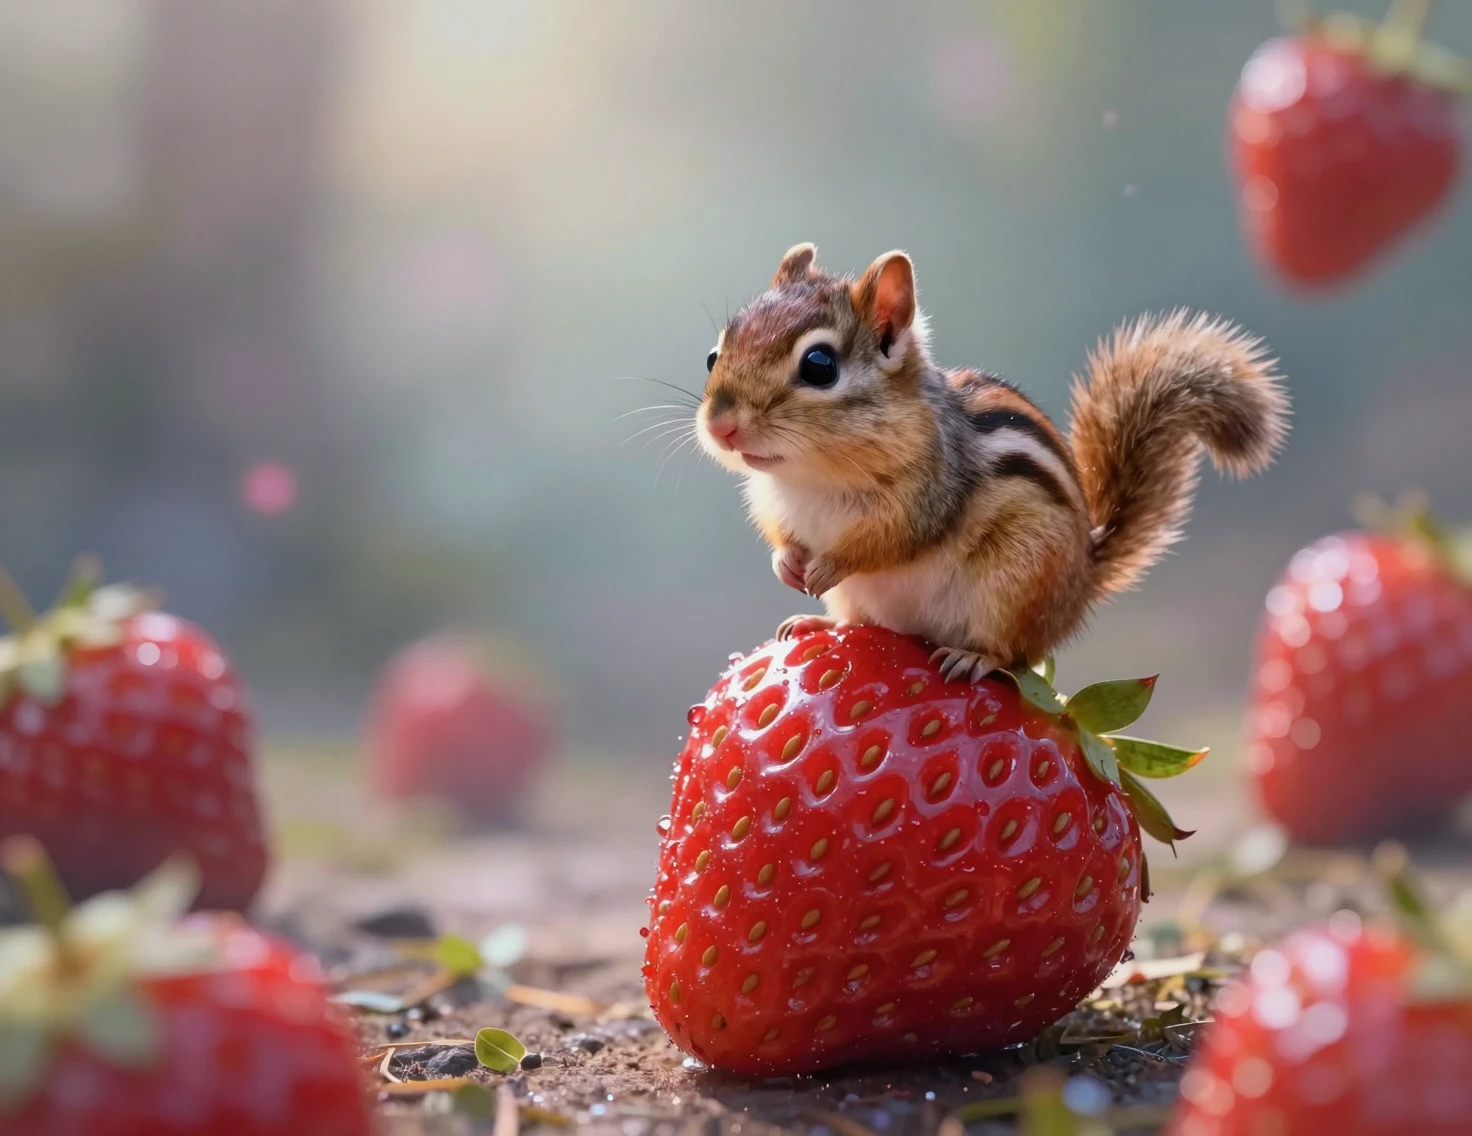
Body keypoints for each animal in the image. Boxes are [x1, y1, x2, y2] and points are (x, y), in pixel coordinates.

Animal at [696, 243, 1291, 682]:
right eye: (713, 355)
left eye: (819, 366)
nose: (722, 425)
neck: (809, 474)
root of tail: (1079, 586)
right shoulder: (772, 499)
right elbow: (778, 531)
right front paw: (786, 563)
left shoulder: (929, 492)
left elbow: (889, 538)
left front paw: (826, 564)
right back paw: (815, 625)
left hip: (1014, 583)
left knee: (1013, 656)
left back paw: (973, 656)